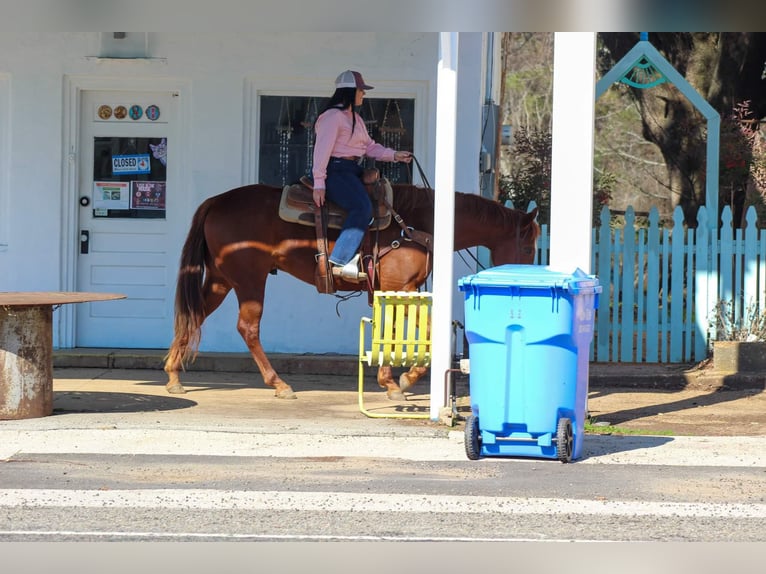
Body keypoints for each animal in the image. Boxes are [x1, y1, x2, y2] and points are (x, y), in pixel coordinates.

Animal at [165, 183, 544, 400]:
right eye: (528, 248)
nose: (525, 281)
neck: (418, 223)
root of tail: (216, 201)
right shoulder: (403, 288)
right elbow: (423, 333)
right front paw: (406, 380)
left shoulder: (393, 289)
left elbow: (391, 331)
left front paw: (390, 382)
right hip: (249, 279)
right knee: (247, 328)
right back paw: (279, 384)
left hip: (221, 279)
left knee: (194, 315)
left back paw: (172, 376)